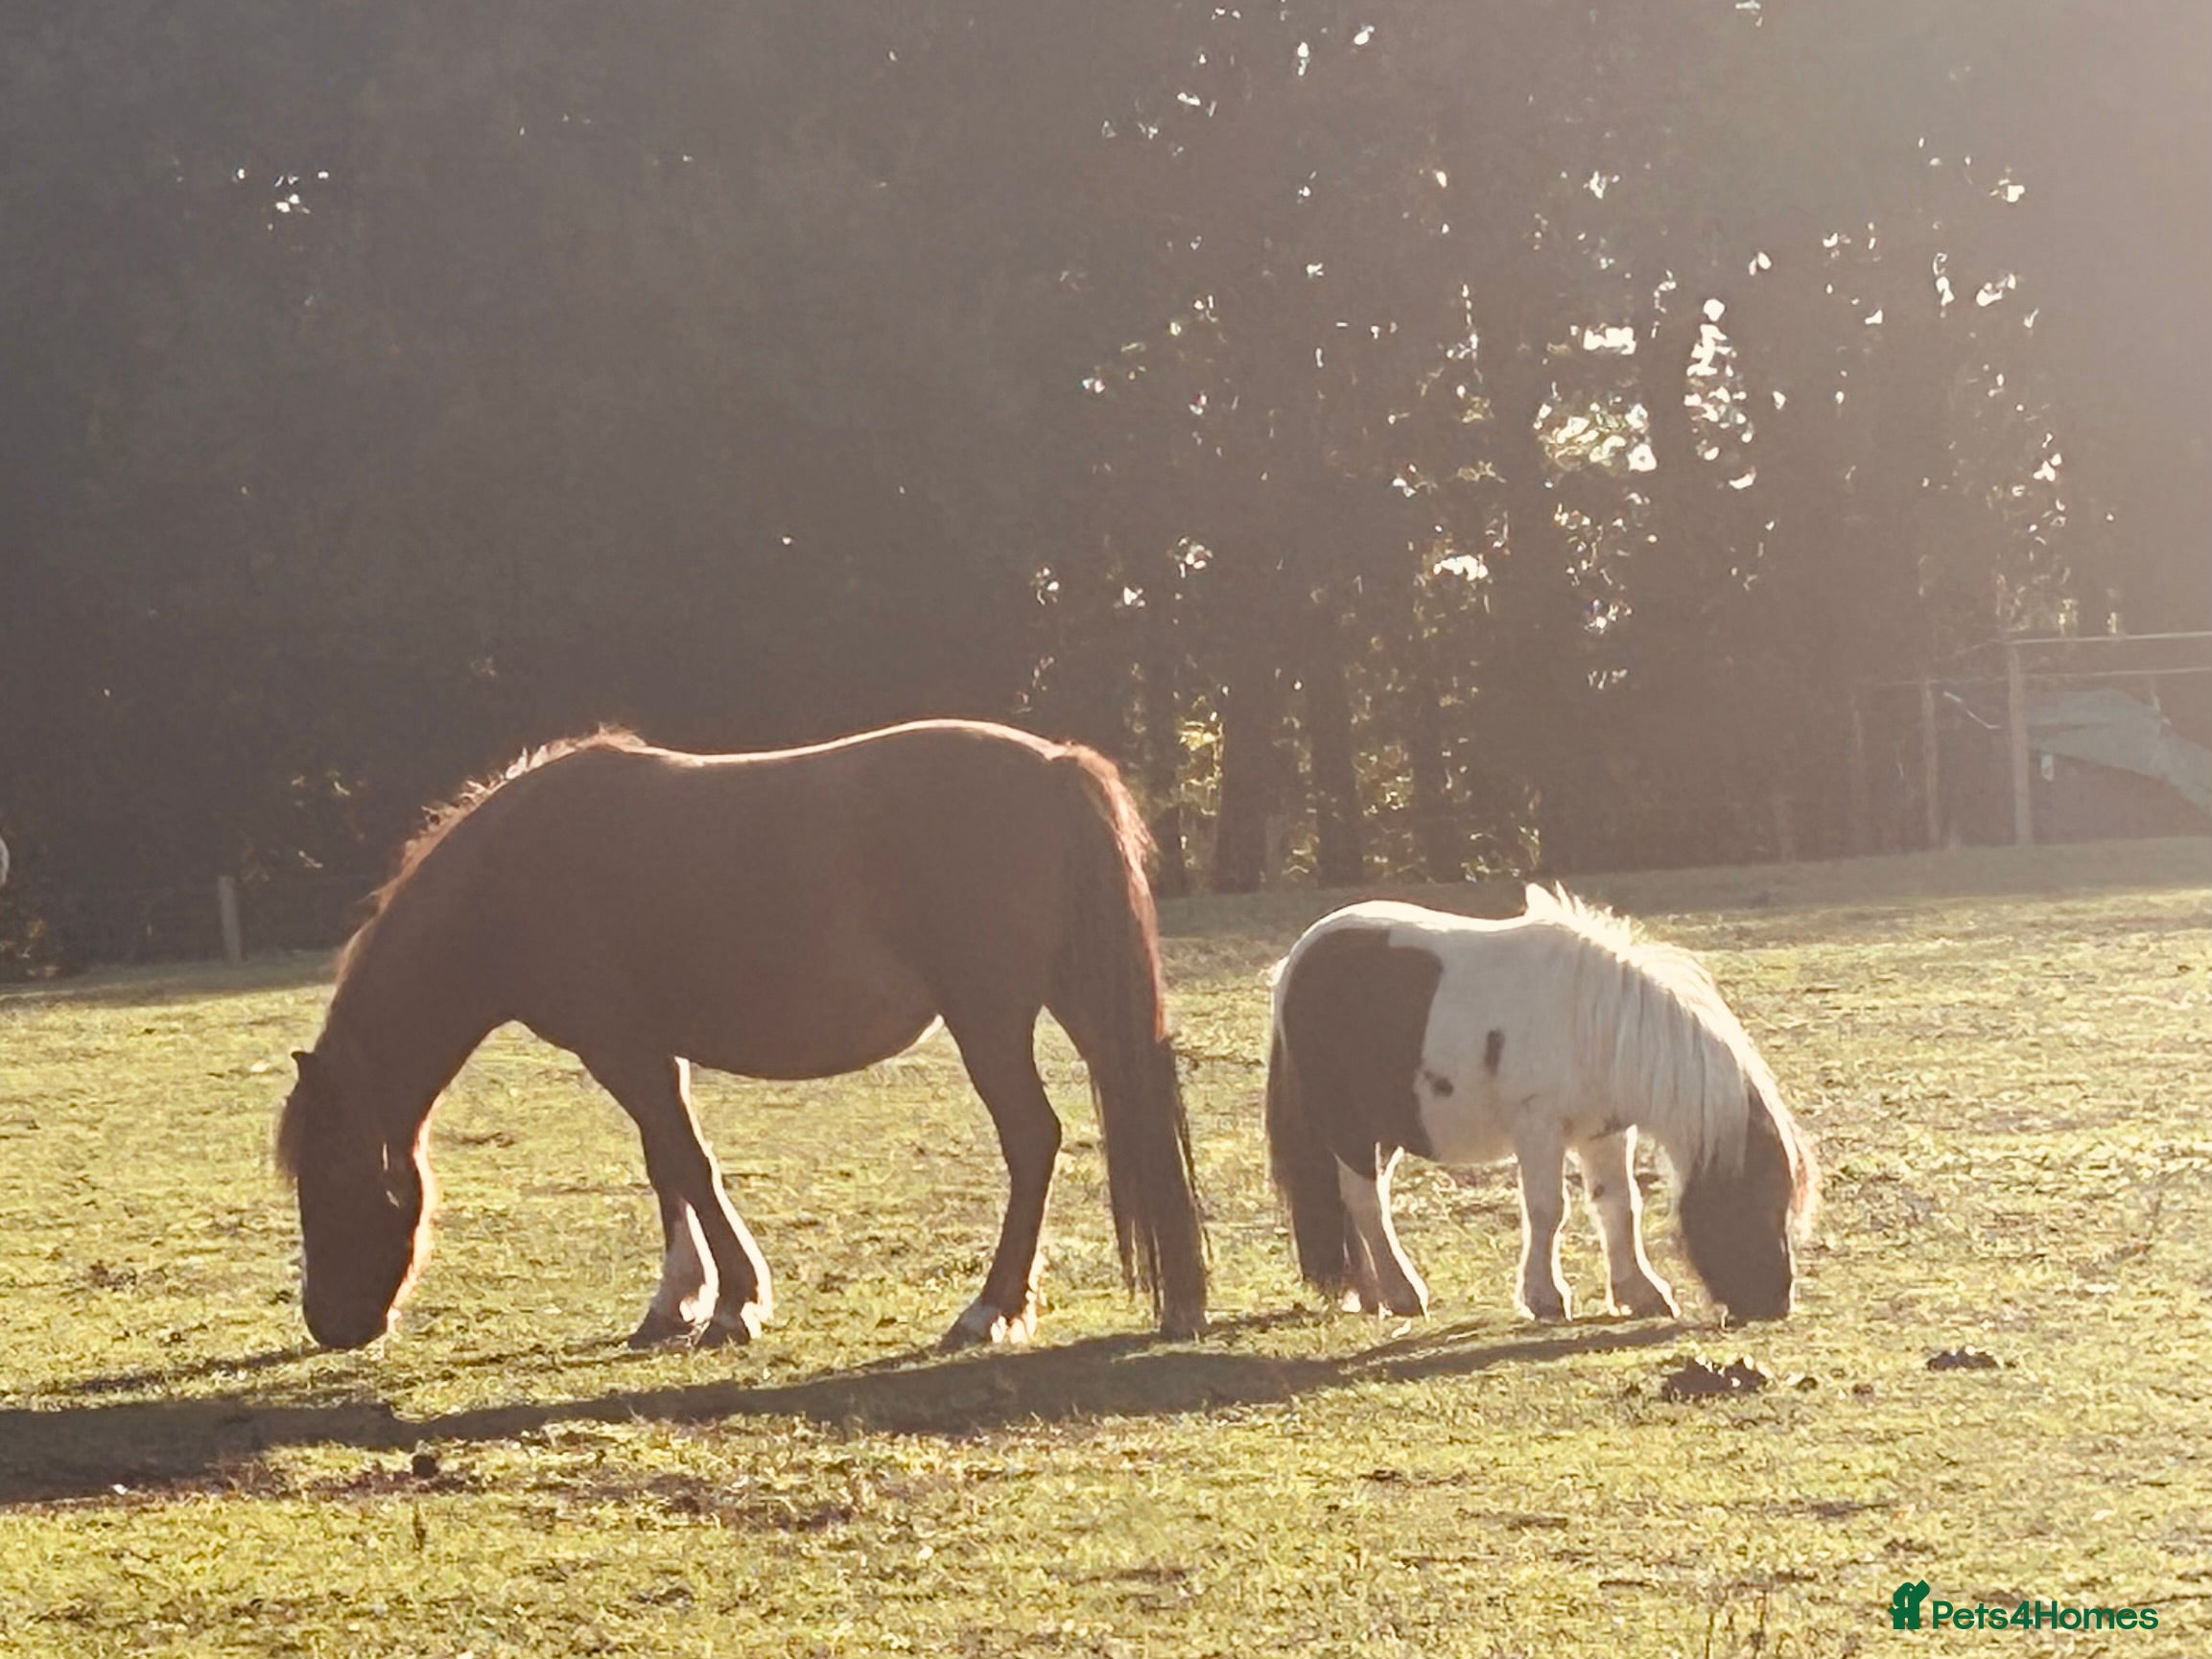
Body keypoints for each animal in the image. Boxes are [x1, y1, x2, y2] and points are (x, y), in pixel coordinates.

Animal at [275, 720, 1207, 1352]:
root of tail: (1057, 766)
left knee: (1033, 1140)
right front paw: (675, 1300)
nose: (330, 1323)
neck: (514, 880)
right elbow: (666, 1164)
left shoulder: (619, 1048)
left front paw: (732, 1304)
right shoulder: (651, 1050)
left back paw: (989, 1309)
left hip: (991, 1017)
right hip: (1073, 1002)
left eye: (330, 1180)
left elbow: (689, 1164)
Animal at [1263, 887, 1816, 1326]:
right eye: (1758, 1199)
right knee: (1366, 1202)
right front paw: (1545, 1298)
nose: (1775, 1303)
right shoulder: (1539, 1126)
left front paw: (1640, 1293)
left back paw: (1373, 1294)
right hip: (1349, 1126)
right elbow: (1548, 1209)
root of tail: (1298, 960)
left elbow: (1620, 1205)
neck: (1595, 1024)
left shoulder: (1606, 1131)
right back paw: (1402, 1293)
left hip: (1384, 1129)